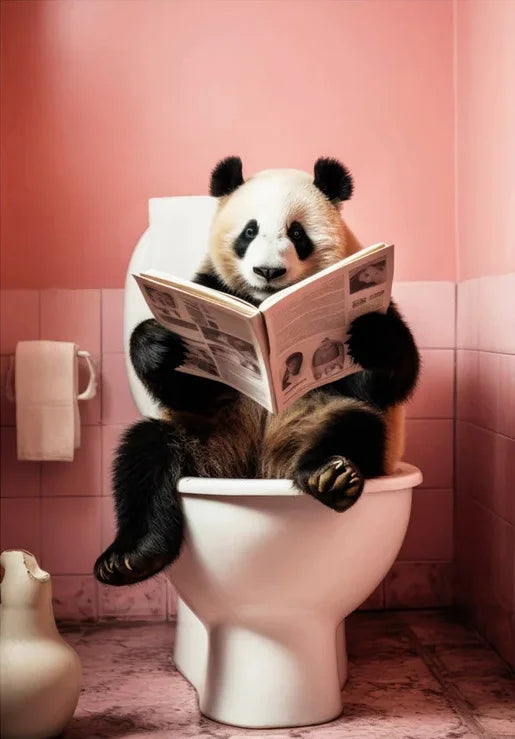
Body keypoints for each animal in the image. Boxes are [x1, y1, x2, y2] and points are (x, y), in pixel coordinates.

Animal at [94, 156, 420, 586]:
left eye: (297, 233)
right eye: (249, 231)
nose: (268, 271)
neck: (264, 304)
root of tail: (259, 469)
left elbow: (381, 382)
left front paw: (369, 337)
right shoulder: (214, 288)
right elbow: (191, 389)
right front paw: (159, 344)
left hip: (322, 426)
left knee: (354, 424)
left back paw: (329, 477)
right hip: (207, 437)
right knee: (146, 453)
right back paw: (131, 557)